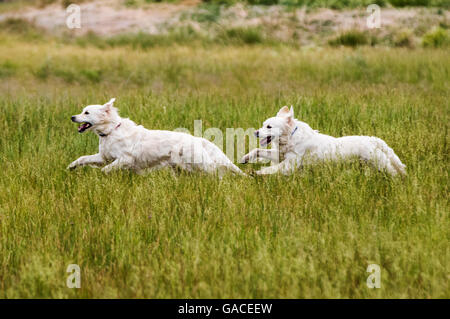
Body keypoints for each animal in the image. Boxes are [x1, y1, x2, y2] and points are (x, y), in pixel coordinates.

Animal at [67, 99, 243, 176]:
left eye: (86, 112)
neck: (111, 131)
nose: (72, 117)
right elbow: (83, 158)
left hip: (200, 163)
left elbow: (105, 170)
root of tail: (197, 139)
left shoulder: (125, 158)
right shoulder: (104, 157)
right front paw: (71, 166)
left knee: (219, 171)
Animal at [241, 107, 406, 178]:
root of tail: (372, 139)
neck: (291, 138)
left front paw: (257, 172)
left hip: (380, 162)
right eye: (263, 125)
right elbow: (258, 150)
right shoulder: (280, 154)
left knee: (395, 171)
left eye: (269, 127)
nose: (255, 132)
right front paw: (245, 158)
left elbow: (272, 169)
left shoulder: (290, 164)